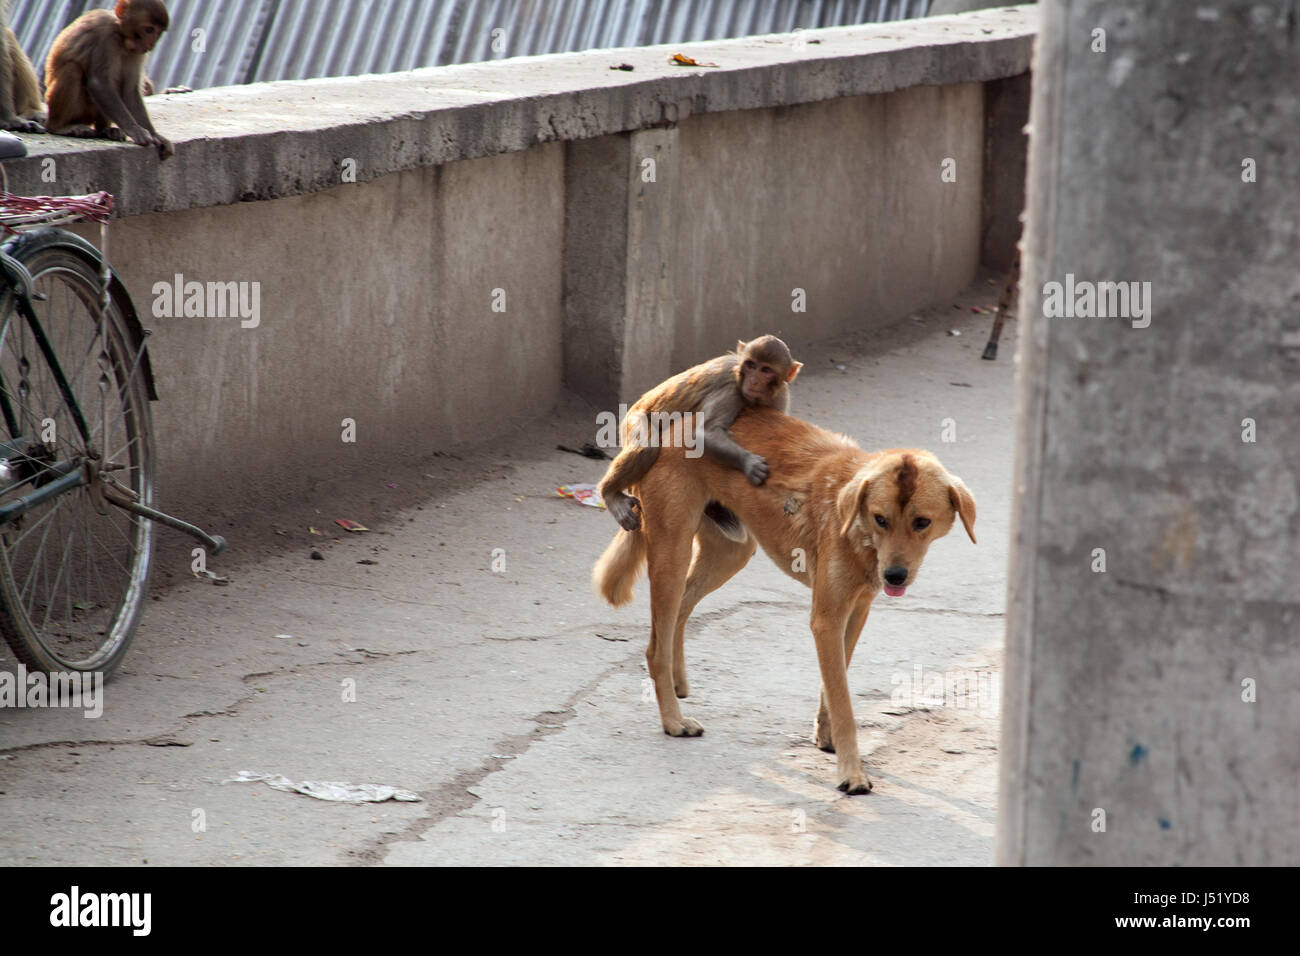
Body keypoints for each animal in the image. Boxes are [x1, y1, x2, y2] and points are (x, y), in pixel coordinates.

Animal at [44, 0, 174, 158]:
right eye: (149, 29)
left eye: (158, 32)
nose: (151, 44)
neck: (121, 36)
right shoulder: (106, 35)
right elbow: (99, 83)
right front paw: (135, 130)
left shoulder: (137, 52)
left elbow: (130, 91)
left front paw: (155, 135)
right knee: (72, 70)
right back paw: (59, 127)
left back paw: (104, 130)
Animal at [590, 403, 977, 790]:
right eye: (881, 519)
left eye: (922, 522)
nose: (894, 575)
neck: (858, 527)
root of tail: (672, 427)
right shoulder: (827, 620)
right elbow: (843, 701)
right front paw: (851, 771)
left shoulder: (855, 611)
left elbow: (833, 683)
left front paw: (827, 737)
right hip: (673, 552)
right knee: (656, 645)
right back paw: (673, 719)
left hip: (729, 554)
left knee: (681, 611)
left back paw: (676, 679)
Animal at [600, 335, 800, 530]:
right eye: (751, 365)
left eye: (765, 370)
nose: (754, 381)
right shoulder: (732, 389)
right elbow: (706, 434)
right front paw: (750, 463)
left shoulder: (779, 398)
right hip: (633, 419)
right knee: (647, 447)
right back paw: (610, 494)